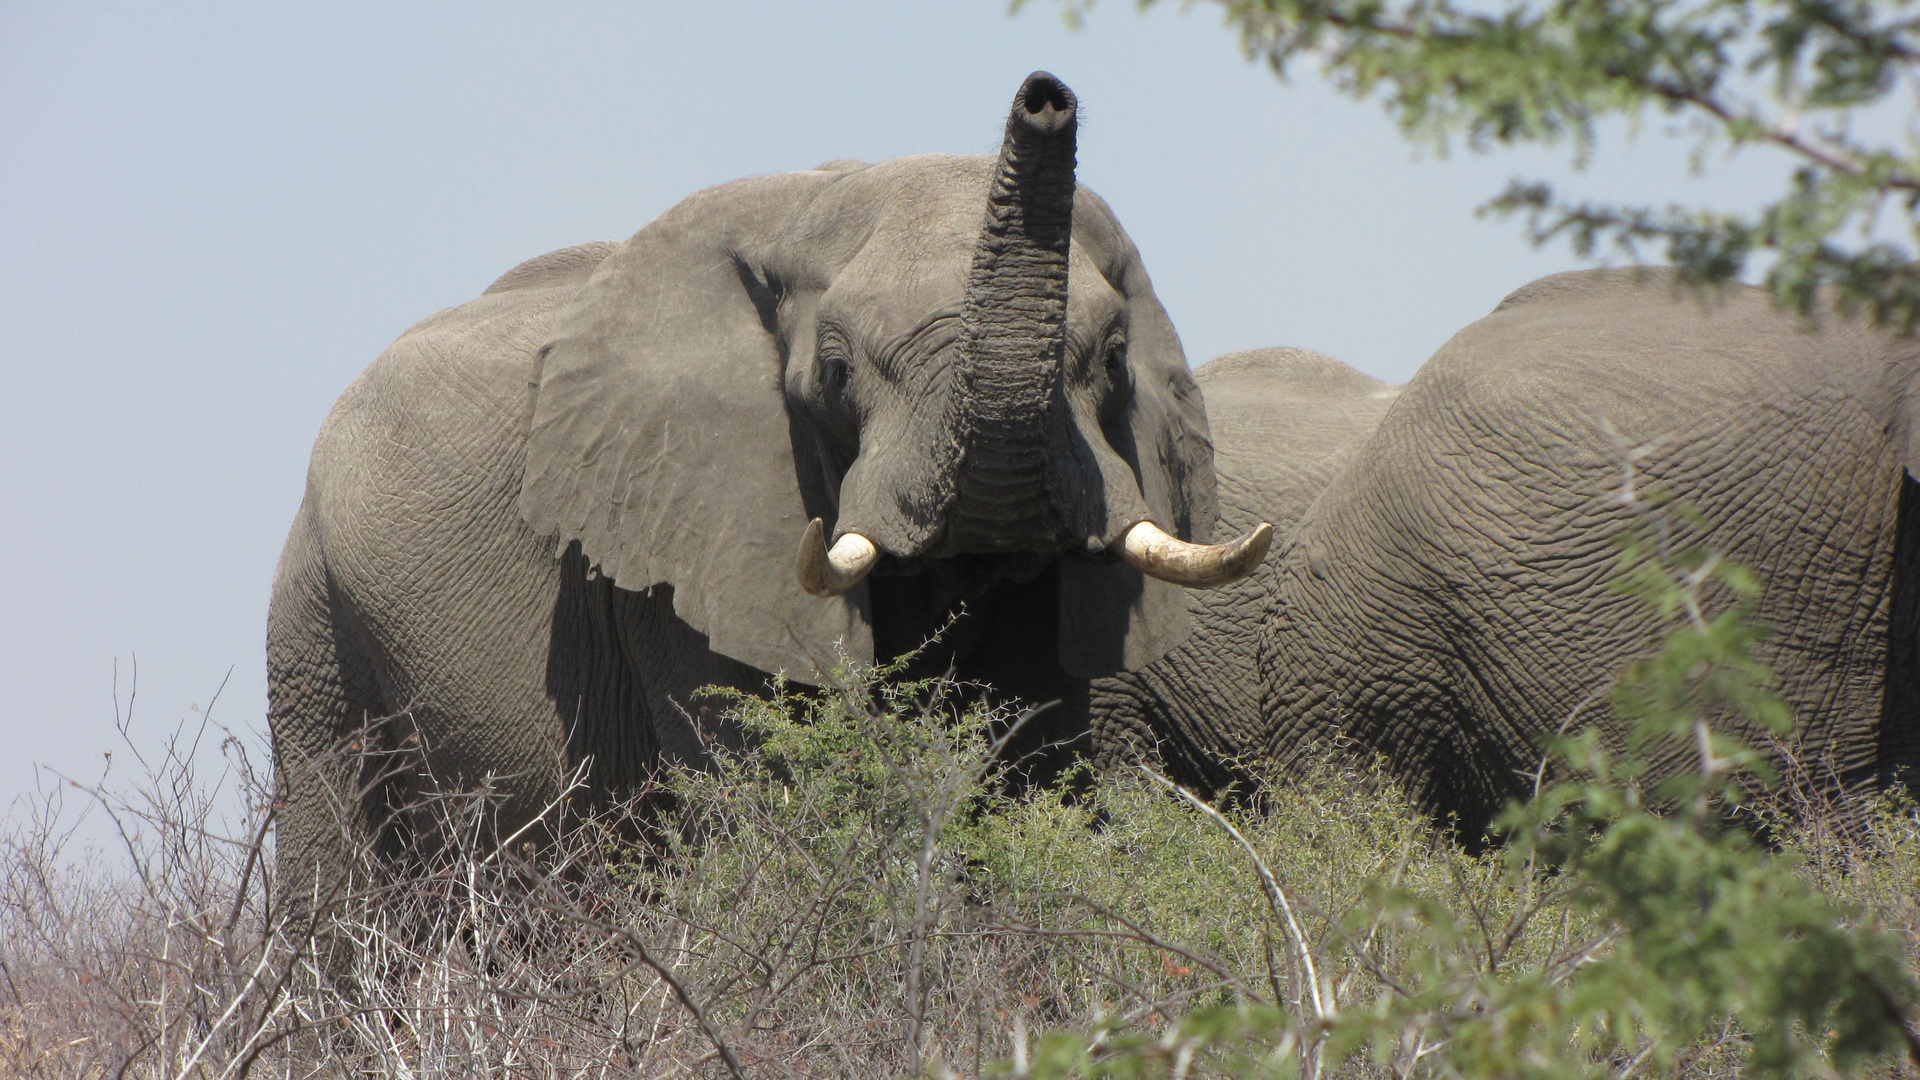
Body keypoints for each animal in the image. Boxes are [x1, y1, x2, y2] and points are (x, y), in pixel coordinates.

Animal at [259, 71, 1274, 887]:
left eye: (1114, 359)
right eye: (834, 370)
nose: (1045, 97)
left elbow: (1028, 766)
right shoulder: (680, 551)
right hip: (314, 629)